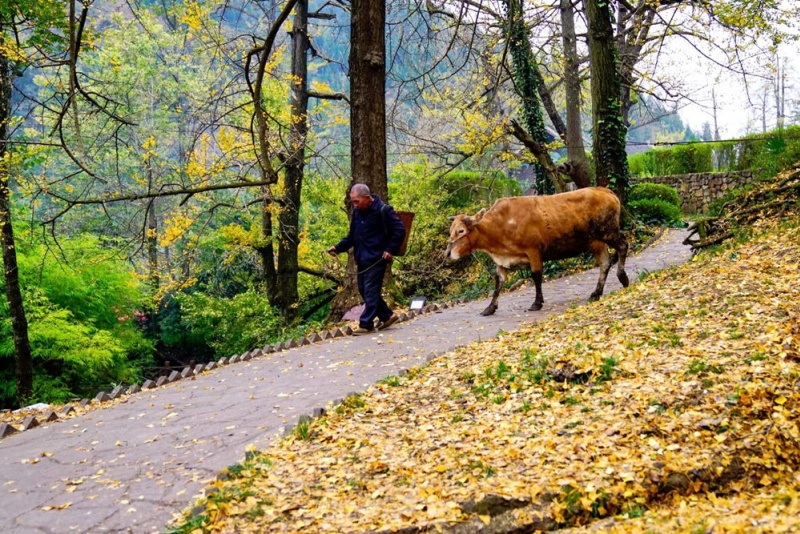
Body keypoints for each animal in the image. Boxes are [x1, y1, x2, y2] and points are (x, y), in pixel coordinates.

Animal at [446, 187, 628, 316]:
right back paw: (596, 293)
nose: (447, 253)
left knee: (623, 246)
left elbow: (537, 276)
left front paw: (537, 303)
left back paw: (623, 278)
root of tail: (604, 190)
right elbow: (498, 284)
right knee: (605, 262)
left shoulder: (533, 251)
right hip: (596, 242)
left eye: (461, 231)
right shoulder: (502, 261)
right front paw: (489, 308)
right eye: (450, 230)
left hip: (608, 232)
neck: (500, 226)